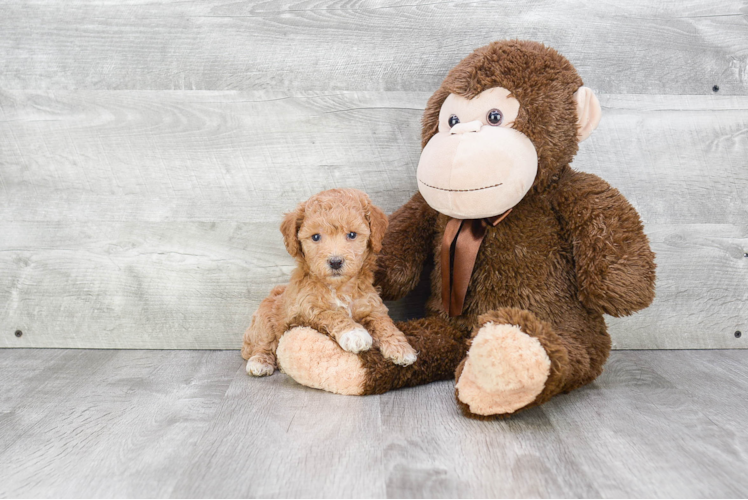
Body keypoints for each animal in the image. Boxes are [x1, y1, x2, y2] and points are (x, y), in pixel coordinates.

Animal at [243, 188, 418, 376]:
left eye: (352, 234)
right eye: (316, 237)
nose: (335, 262)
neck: (340, 288)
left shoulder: (371, 306)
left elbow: (384, 322)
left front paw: (401, 348)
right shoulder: (306, 309)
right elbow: (331, 314)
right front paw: (355, 333)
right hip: (265, 316)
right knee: (264, 342)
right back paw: (260, 362)